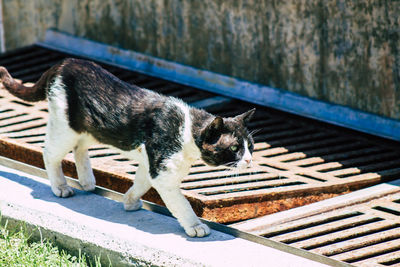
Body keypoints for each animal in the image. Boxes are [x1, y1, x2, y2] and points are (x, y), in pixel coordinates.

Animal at [0, 59, 255, 239]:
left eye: (250, 146)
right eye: (235, 147)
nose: (250, 160)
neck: (187, 129)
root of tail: (64, 63)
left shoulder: (150, 163)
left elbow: (141, 182)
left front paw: (129, 201)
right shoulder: (162, 171)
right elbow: (181, 203)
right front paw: (195, 225)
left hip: (92, 128)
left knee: (80, 148)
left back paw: (87, 181)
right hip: (66, 127)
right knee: (50, 152)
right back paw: (61, 187)